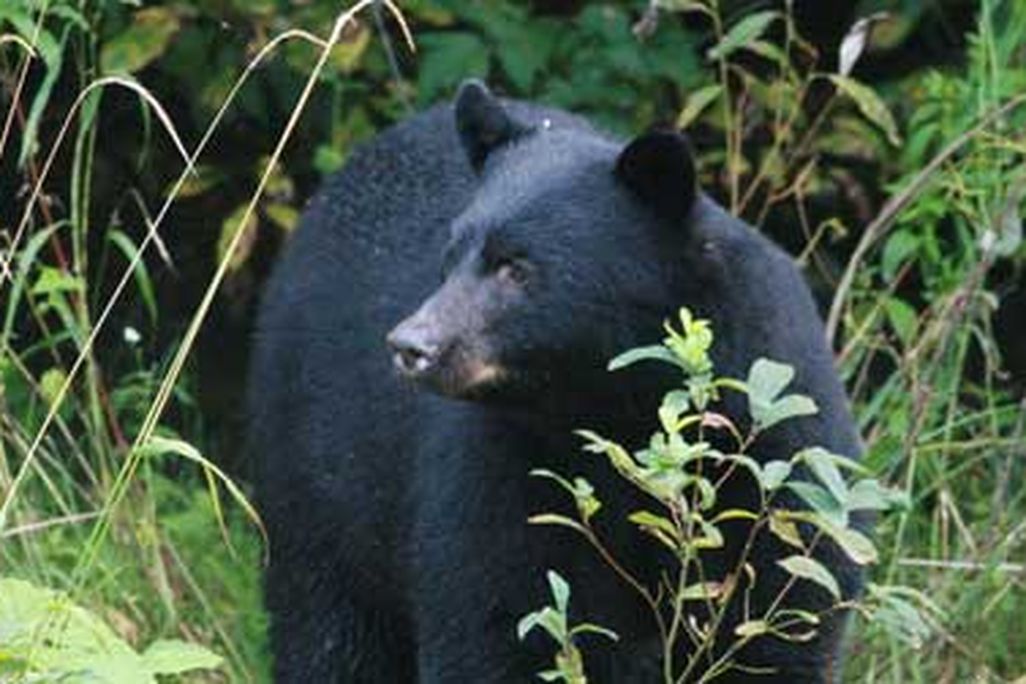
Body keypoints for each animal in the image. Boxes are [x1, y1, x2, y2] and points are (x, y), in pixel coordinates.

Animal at [246, 80, 865, 683]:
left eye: (517, 268)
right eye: (449, 258)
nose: (411, 346)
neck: (610, 404)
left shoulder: (771, 456)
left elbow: (777, 618)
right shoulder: (507, 466)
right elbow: (500, 619)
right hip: (316, 470)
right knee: (329, 628)